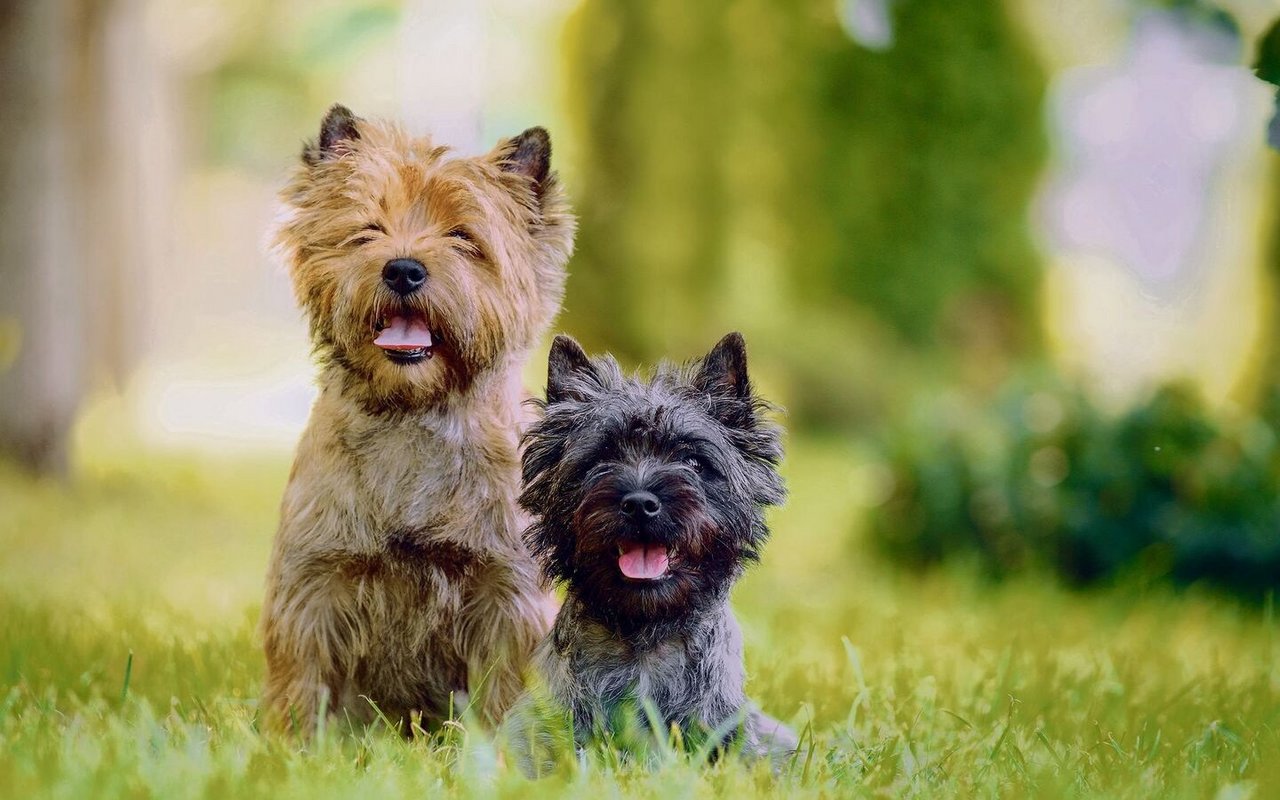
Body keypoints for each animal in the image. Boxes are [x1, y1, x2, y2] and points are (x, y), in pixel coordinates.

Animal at [259, 106, 576, 737]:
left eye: (464, 238)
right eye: (367, 230)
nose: (403, 269)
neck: (411, 415)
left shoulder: (506, 592)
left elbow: (504, 687)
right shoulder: (314, 583)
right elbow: (304, 678)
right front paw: (296, 745)